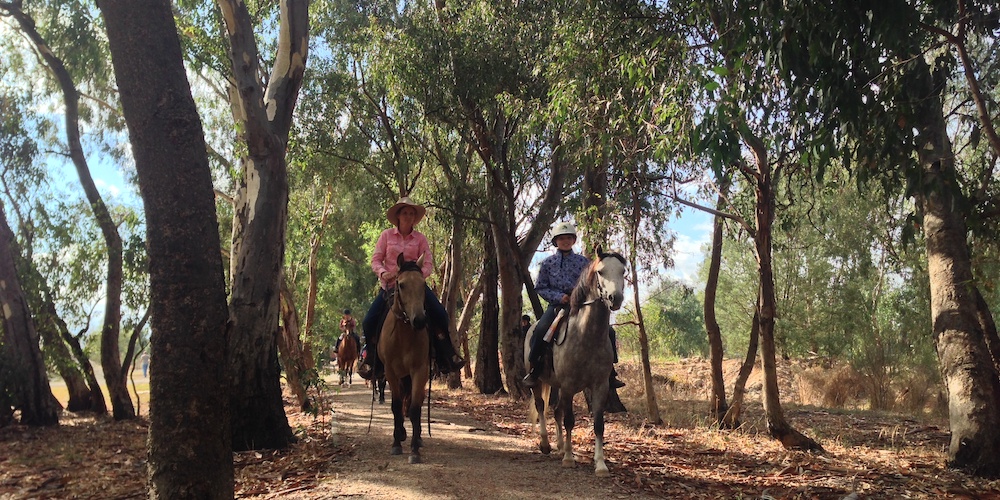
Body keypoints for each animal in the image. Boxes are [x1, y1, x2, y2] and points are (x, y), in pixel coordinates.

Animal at [524, 252, 624, 474]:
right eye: (601, 271)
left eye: (623, 271)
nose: (616, 298)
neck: (587, 336)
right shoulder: (569, 384)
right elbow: (570, 421)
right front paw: (569, 459)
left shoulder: (600, 386)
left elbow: (598, 424)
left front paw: (600, 464)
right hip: (539, 382)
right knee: (541, 406)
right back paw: (546, 444)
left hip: (559, 386)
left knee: (556, 411)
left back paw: (561, 446)